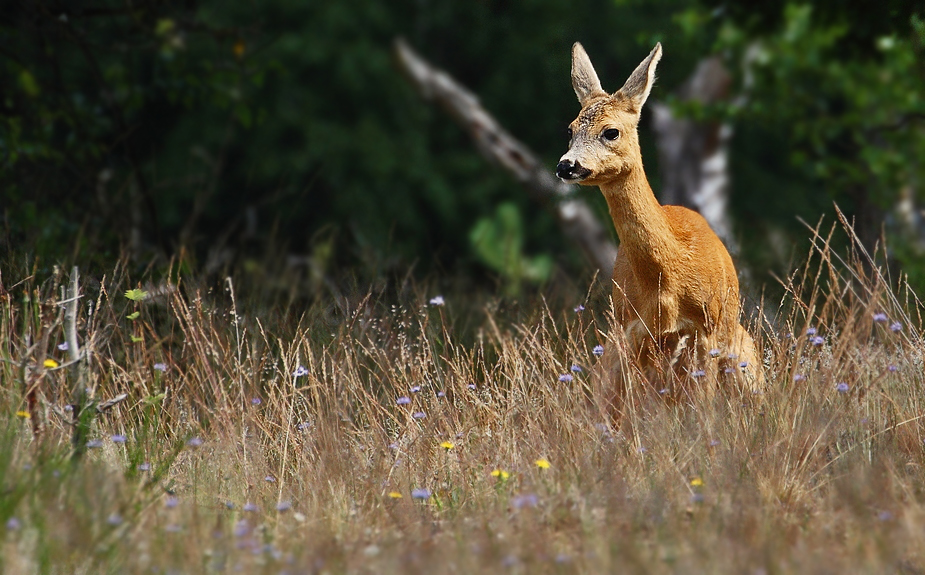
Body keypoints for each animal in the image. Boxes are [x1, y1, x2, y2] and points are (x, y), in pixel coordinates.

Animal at [556, 41, 756, 410]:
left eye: (611, 131)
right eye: (571, 129)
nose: (567, 165)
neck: (667, 278)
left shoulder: (706, 329)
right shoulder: (631, 329)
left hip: (741, 358)